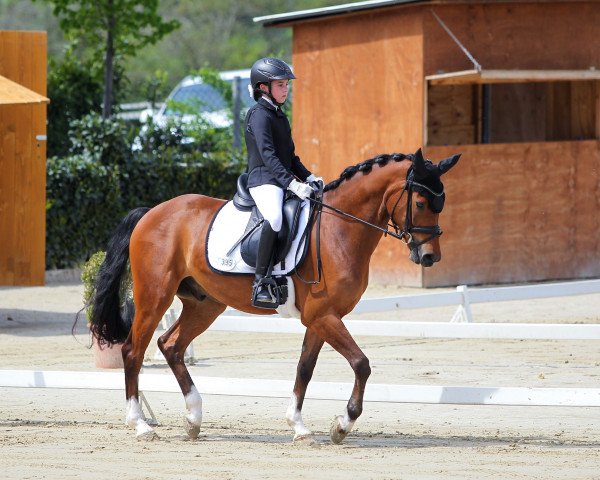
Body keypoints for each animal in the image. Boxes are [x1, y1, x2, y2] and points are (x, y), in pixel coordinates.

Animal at [91, 147, 462, 442]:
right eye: (420, 202)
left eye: (442, 203)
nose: (430, 257)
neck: (339, 230)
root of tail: (151, 213)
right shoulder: (323, 316)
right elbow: (361, 364)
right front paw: (342, 425)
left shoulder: (321, 318)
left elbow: (305, 369)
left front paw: (299, 427)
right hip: (155, 297)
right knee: (133, 351)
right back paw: (141, 425)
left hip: (205, 304)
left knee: (171, 345)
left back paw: (193, 419)